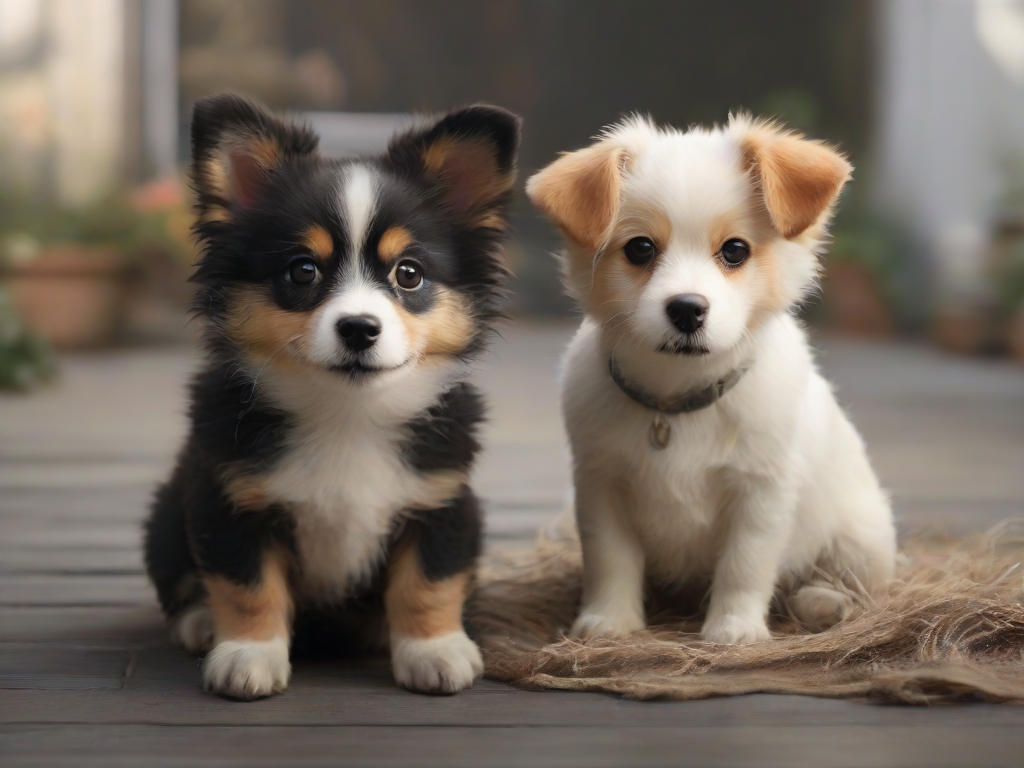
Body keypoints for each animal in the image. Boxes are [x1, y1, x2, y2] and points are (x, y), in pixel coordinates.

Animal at [144, 93, 520, 700]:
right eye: (303, 271)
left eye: (409, 274)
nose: (359, 329)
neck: (348, 413)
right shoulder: (229, 502)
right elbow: (247, 585)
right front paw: (248, 656)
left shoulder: (441, 500)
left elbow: (428, 581)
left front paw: (433, 651)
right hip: (165, 517)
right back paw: (200, 622)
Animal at [528, 112, 897, 643]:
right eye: (640, 248)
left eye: (735, 250)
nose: (687, 309)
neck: (677, 402)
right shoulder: (600, 485)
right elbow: (610, 559)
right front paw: (610, 621)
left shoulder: (762, 493)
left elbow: (744, 566)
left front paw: (734, 629)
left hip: (861, 535)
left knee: (853, 582)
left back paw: (823, 601)